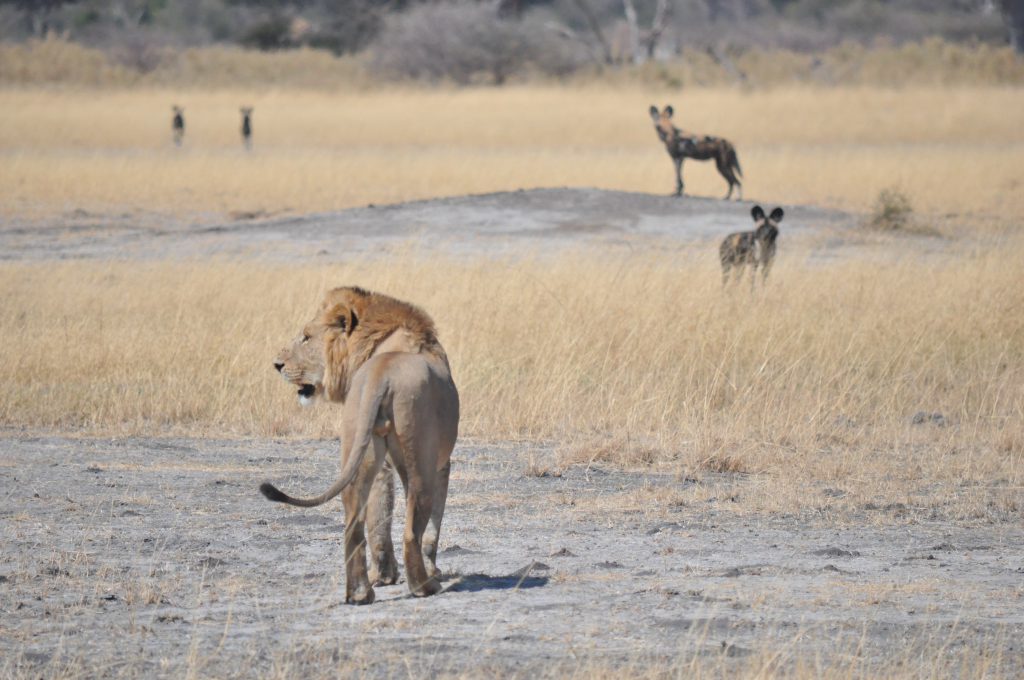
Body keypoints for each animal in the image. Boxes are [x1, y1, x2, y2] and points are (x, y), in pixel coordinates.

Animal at [262, 284, 458, 602]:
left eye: (306, 337)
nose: (276, 365)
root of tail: (382, 374)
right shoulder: (443, 464)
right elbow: (431, 526)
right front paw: (430, 570)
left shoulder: (381, 463)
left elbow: (378, 517)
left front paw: (384, 575)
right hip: (421, 460)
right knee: (411, 529)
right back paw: (424, 586)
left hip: (358, 443)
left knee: (353, 523)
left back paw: (359, 592)